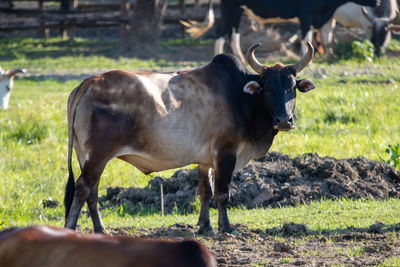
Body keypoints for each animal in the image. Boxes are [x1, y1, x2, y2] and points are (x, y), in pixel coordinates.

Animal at [65, 40, 316, 236]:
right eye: (268, 89)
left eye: (292, 88)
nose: (284, 120)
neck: (241, 96)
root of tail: (90, 82)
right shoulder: (226, 154)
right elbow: (223, 193)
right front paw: (226, 227)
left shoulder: (205, 160)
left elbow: (206, 192)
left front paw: (205, 226)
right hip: (98, 156)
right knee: (83, 188)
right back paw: (71, 229)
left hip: (85, 156)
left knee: (92, 191)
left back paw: (101, 230)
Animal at [183, 0, 380, 61]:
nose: (378, 2)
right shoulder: (305, 15)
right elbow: (306, 38)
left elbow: (327, 37)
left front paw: (329, 55)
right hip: (232, 9)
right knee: (223, 34)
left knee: (231, 35)